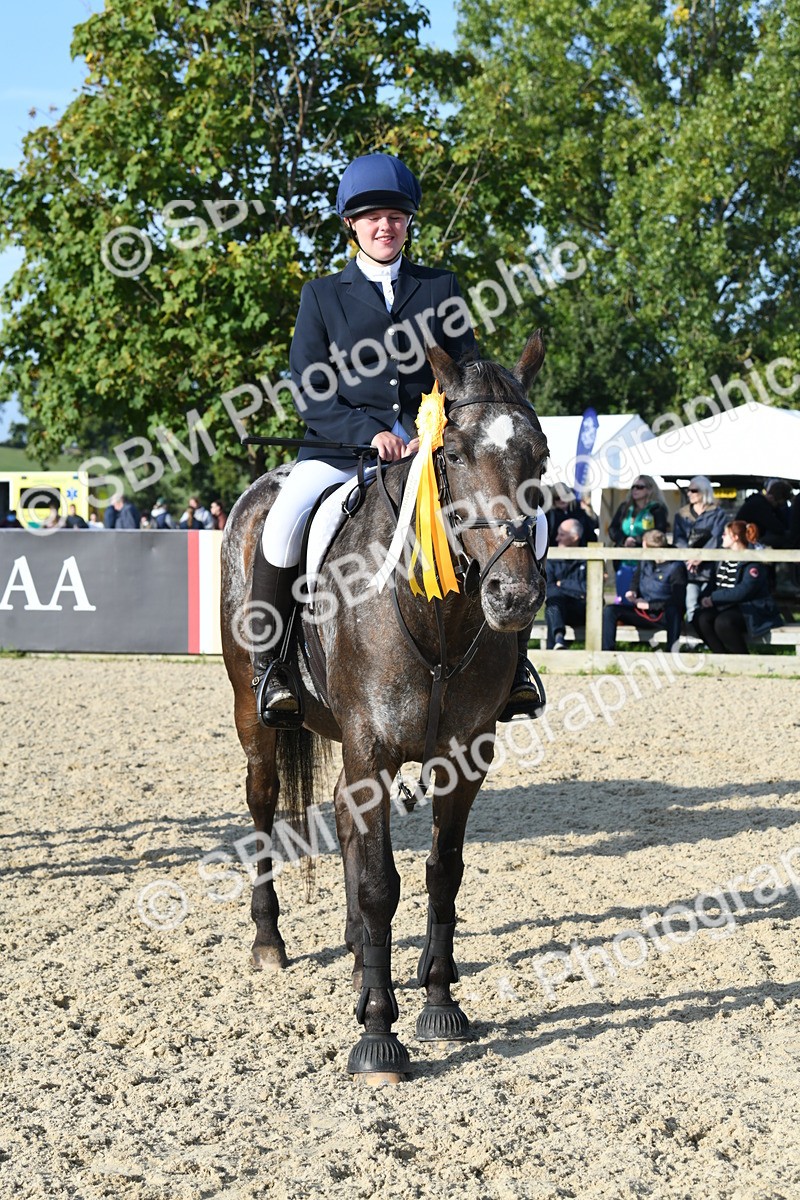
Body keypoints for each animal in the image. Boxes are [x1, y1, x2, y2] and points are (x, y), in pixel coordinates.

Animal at [220, 331, 550, 1082]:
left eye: (541, 456)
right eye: (451, 456)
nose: (515, 596)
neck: (439, 614)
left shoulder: (465, 756)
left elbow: (442, 873)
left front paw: (439, 1002)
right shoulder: (370, 749)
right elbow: (379, 885)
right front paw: (377, 1034)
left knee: (347, 826)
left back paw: (353, 955)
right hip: (255, 718)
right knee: (263, 806)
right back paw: (269, 942)